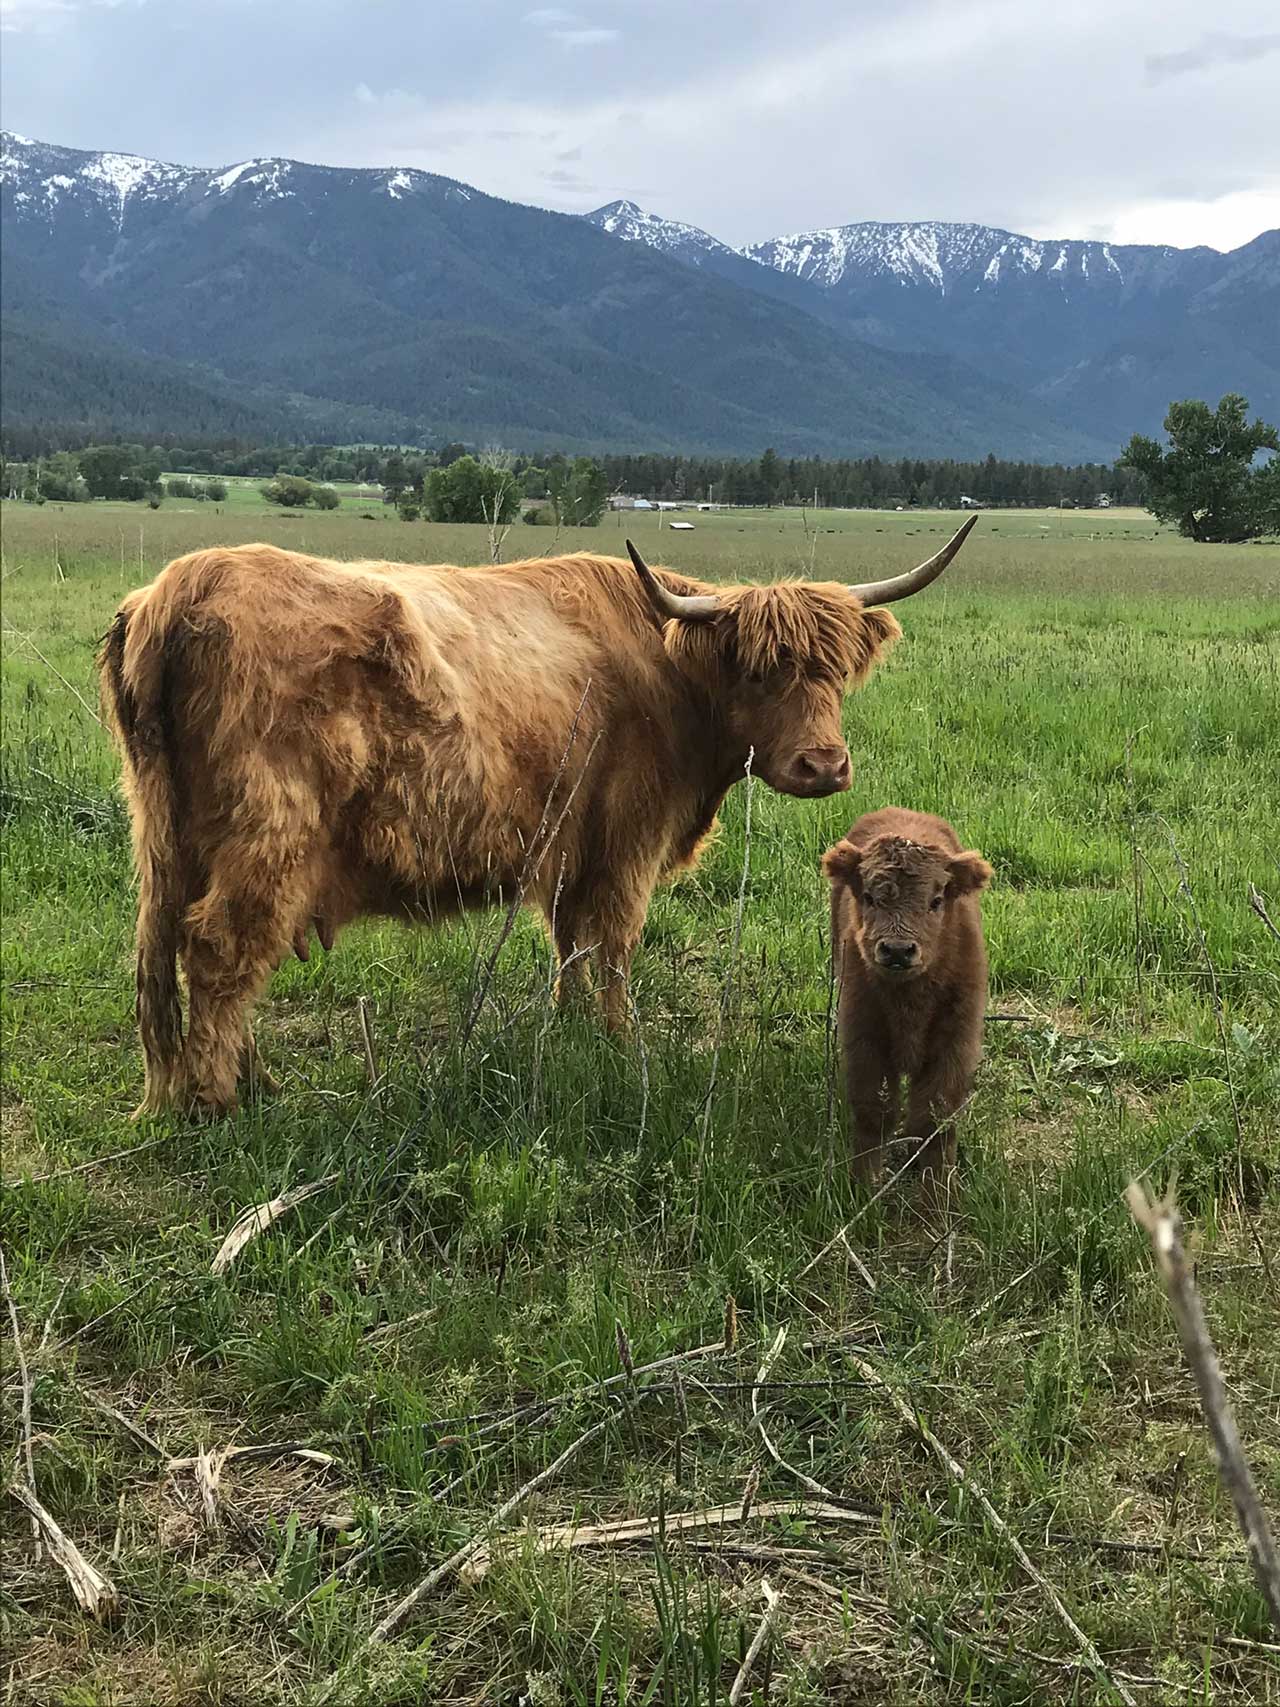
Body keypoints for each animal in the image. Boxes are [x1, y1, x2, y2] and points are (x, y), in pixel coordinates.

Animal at [102, 518, 983, 1119]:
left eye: (837, 671)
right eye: (760, 670)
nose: (824, 765)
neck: (669, 672)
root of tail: (185, 584)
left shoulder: (573, 842)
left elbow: (570, 942)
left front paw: (570, 1030)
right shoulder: (629, 837)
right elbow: (615, 943)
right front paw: (622, 1045)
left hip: (166, 835)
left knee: (169, 947)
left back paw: (232, 1085)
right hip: (270, 832)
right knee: (221, 949)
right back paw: (221, 1104)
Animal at [826, 809, 996, 1188]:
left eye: (936, 901)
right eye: (869, 897)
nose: (897, 950)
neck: (909, 1004)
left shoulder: (954, 1044)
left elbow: (934, 1124)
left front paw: (937, 1196)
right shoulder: (865, 1039)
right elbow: (874, 1115)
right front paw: (862, 1187)